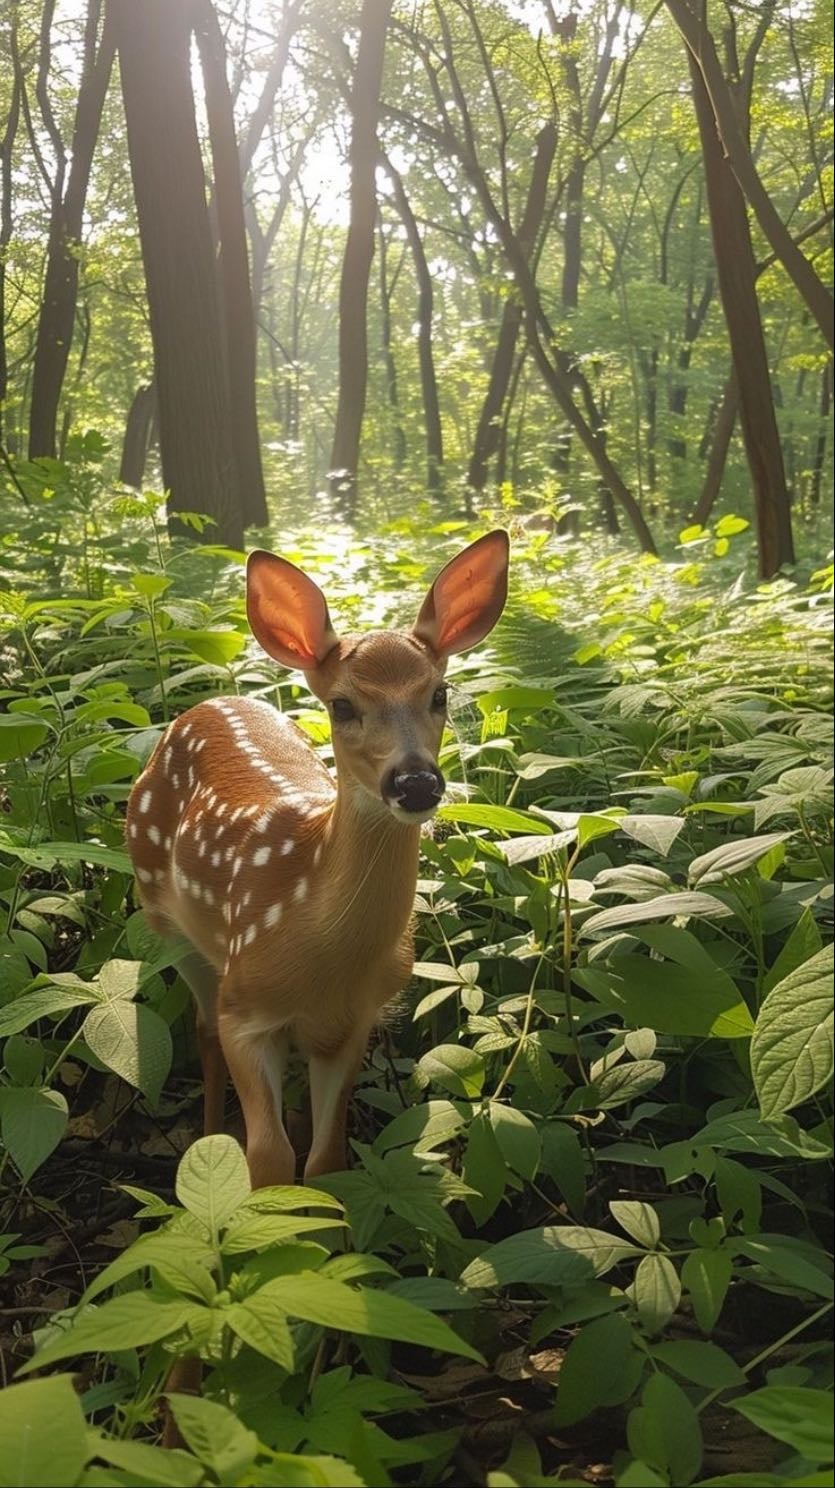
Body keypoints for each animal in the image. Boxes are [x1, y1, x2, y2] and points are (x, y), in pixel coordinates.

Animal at [126, 531, 509, 1189]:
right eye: (342, 705)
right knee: (202, 1031)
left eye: (438, 694)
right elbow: (270, 1160)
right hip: (168, 920)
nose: (415, 783)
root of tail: (207, 703)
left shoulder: (355, 1023)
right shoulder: (245, 1008)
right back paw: (205, 1139)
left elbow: (328, 1160)